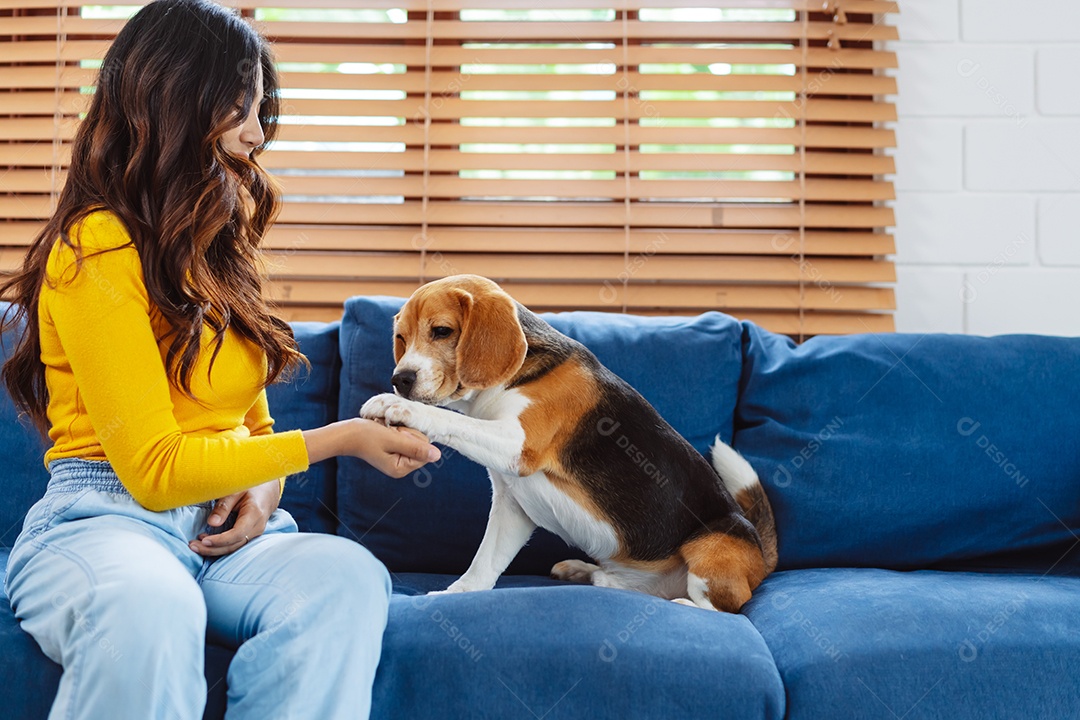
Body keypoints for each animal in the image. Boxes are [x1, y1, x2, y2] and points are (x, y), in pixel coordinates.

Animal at [362, 273, 777, 613]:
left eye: (441, 331)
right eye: (401, 338)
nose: (400, 379)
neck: (509, 379)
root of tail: (761, 553)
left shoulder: (519, 445)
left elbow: (451, 420)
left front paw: (395, 406)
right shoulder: (512, 504)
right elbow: (484, 562)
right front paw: (457, 594)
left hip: (712, 542)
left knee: (723, 607)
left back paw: (685, 603)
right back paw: (587, 573)